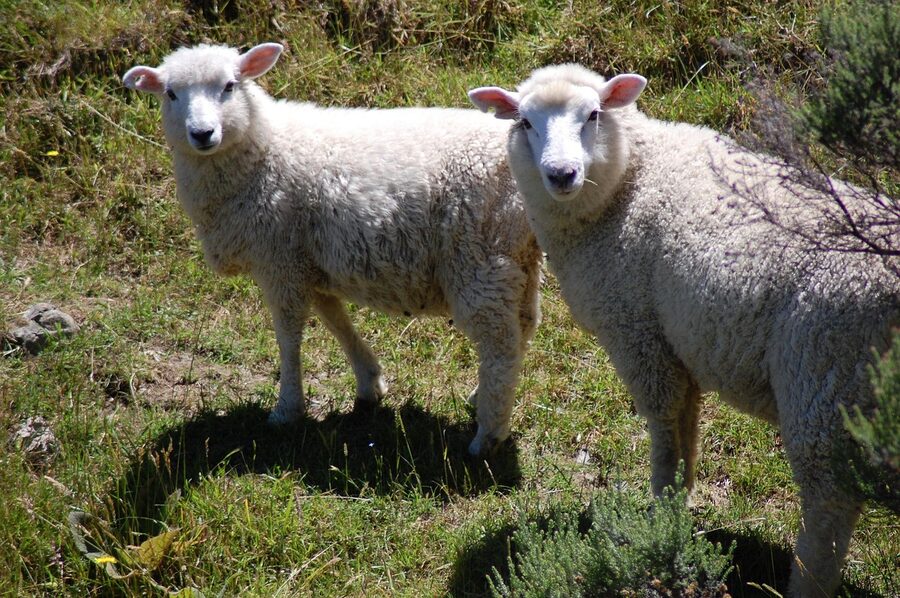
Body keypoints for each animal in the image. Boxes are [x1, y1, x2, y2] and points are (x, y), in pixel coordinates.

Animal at [122, 43, 542, 455]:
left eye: (228, 86)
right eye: (170, 94)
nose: (202, 133)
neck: (265, 149)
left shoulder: (280, 261)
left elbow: (288, 335)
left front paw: (287, 409)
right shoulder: (310, 264)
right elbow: (335, 320)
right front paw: (370, 383)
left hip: (478, 258)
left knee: (500, 344)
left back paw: (487, 436)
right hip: (517, 258)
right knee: (523, 326)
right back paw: (480, 397)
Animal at [469, 64, 899, 597]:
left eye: (593, 114)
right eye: (525, 123)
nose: (561, 174)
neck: (629, 182)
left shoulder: (637, 333)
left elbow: (664, 422)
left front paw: (661, 506)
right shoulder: (678, 344)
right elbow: (688, 421)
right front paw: (681, 499)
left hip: (824, 382)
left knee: (828, 507)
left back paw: (803, 581)